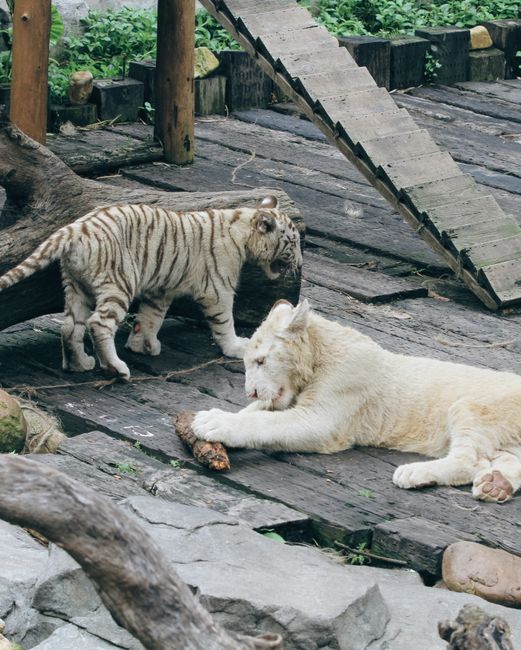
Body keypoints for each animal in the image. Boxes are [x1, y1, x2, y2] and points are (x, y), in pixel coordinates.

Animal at [0, 196, 302, 380]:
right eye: (293, 243)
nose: (299, 262)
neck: (242, 224)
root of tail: (75, 228)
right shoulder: (218, 289)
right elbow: (224, 322)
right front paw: (236, 347)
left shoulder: (161, 290)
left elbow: (149, 318)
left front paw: (142, 345)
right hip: (119, 283)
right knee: (98, 324)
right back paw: (116, 368)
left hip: (76, 286)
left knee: (69, 326)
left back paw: (80, 364)